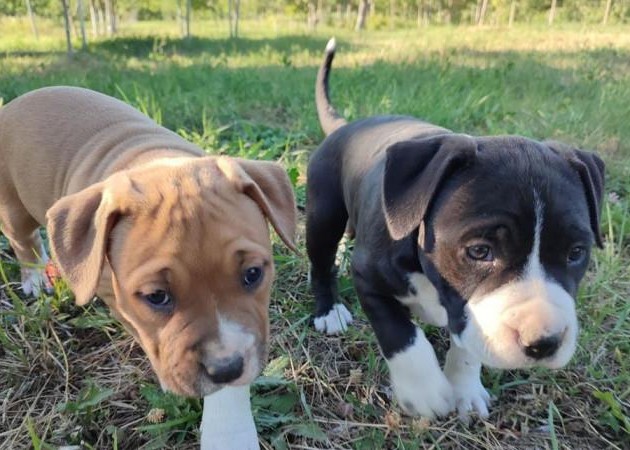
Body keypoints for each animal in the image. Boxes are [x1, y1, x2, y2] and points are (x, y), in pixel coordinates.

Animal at [0, 86, 297, 448]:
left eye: (253, 274)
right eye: (156, 296)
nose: (226, 369)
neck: (154, 159)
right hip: (11, 204)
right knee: (22, 238)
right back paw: (34, 275)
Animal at [306, 39, 605, 419]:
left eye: (576, 253)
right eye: (479, 251)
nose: (544, 342)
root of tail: (347, 125)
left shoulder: (469, 314)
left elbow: (468, 344)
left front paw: (465, 388)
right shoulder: (370, 279)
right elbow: (400, 333)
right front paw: (425, 389)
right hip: (323, 213)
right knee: (320, 261)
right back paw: (328, 311)